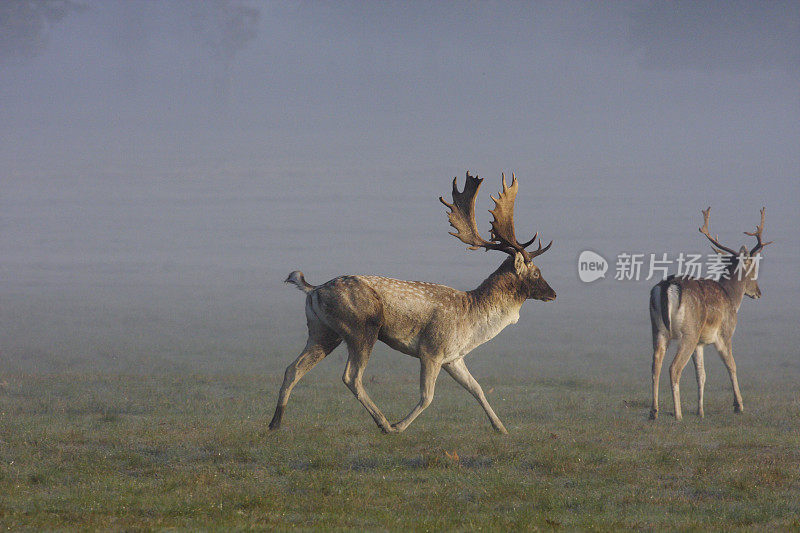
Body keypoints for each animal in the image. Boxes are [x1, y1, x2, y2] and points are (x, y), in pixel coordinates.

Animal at [268, 171, 556, 432]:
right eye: (536, 272)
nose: (553, 293)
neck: (472, 321)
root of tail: (313, 290)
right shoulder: (432, 349)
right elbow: (427, 397)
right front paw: (399, 425)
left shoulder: (453, 358)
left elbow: (477, 389)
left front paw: (502, 429)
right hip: (361, 329)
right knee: (351, 376)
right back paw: (384, 423)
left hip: (322, 331)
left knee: (293, 368)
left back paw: (275, 423)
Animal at [648, 206, 768, 418]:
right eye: (753, 269)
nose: (758, 292)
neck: (731, 297)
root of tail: (667, 287)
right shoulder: (725, 333)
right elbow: (732, 365)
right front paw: (738, 405)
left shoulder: (700, 343)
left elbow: (701, 375)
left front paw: (700, 411)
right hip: (688, 332)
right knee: (674, 368)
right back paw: (678, 414)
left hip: (658, 330)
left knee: (655, 366)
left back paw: (654, 412)